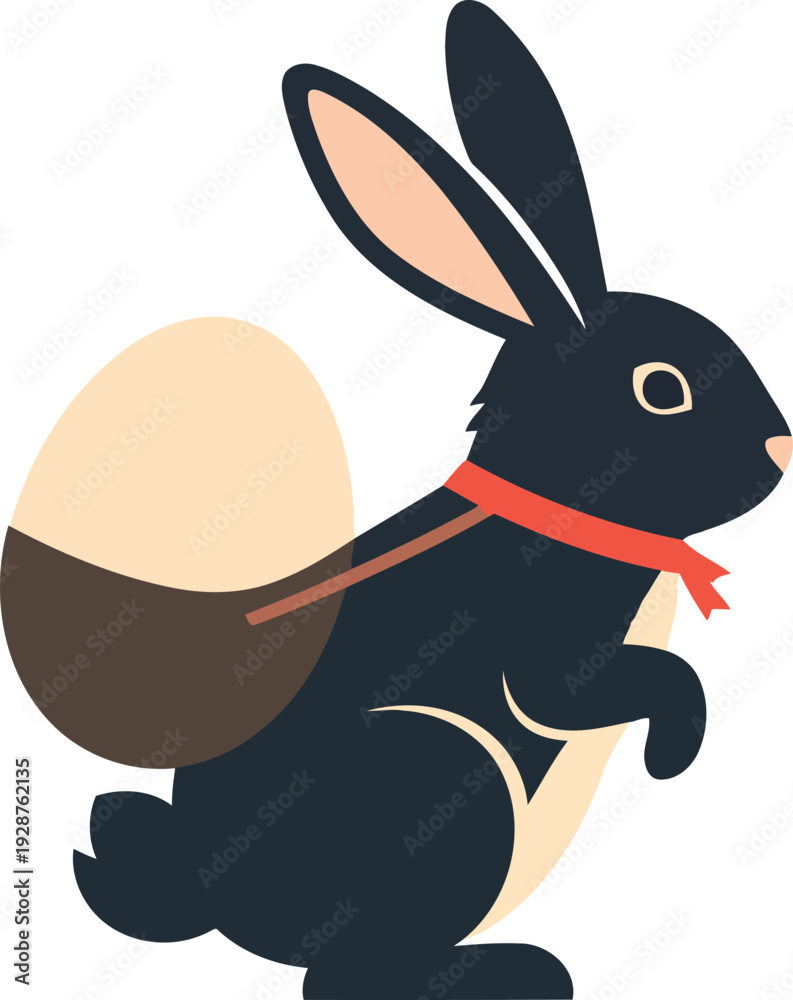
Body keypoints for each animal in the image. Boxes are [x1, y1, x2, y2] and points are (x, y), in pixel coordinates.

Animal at [10, 2, 792, 999]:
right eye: (663, 389)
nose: (781, 450)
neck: (553, 497)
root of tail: (211, 898)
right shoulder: (547, 649)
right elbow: (610, 686)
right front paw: (672, 755)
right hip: (447, 777)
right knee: (344, 973)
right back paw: (524, 971)